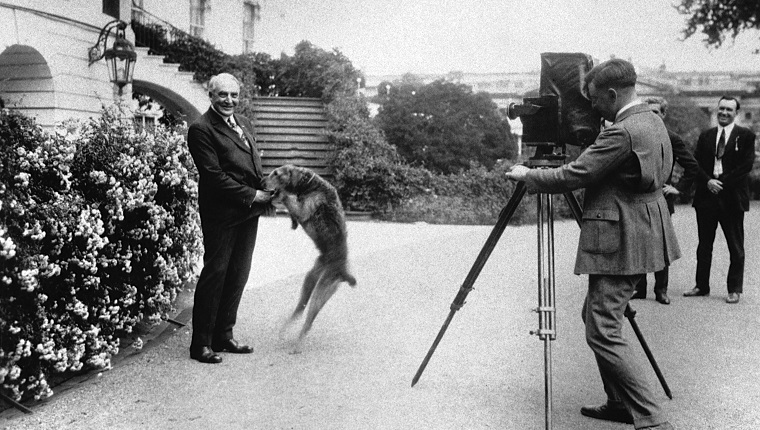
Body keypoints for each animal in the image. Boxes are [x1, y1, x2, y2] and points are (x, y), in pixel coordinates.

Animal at [264, 163, 356, 340]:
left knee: (307, 323)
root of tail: (343, 272)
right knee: (300, 310)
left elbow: (288, 198)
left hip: (321, 291)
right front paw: (292, 223)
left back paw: (295, 342)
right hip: (310, 279)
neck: (310, 185)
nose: (261, 181)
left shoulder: (303, 210)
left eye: (276, 173)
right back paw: (284, 329)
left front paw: (280, 194)